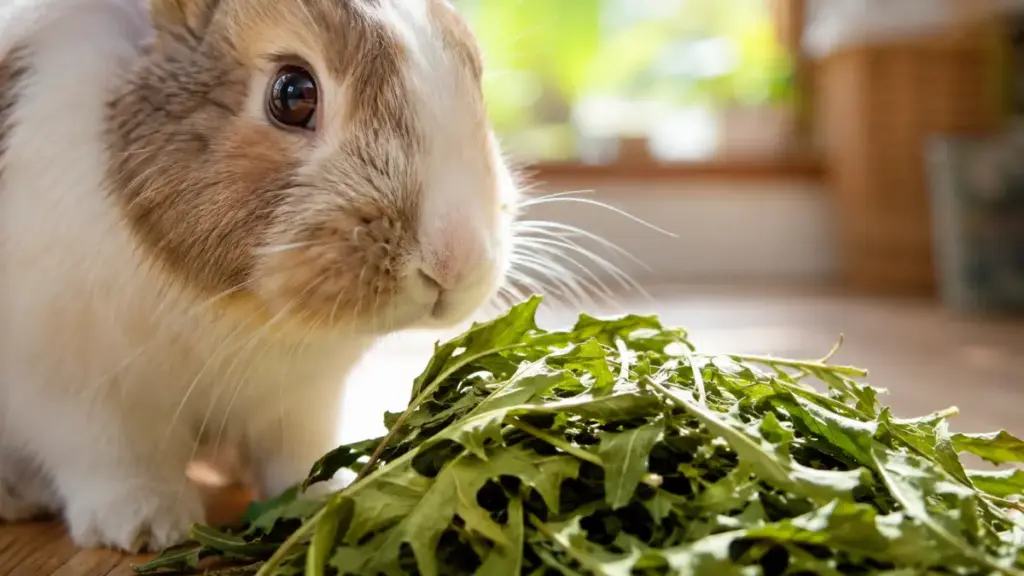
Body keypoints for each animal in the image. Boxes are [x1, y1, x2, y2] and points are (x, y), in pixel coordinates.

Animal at [0, 0, 519, 553]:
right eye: (293, 94)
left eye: (472, 69)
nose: (457, 262)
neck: (232, 306)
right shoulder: (77, 389)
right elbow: (116, 455)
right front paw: (146, 525)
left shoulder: (300, 403)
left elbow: (296, 455)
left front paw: (320, 496)